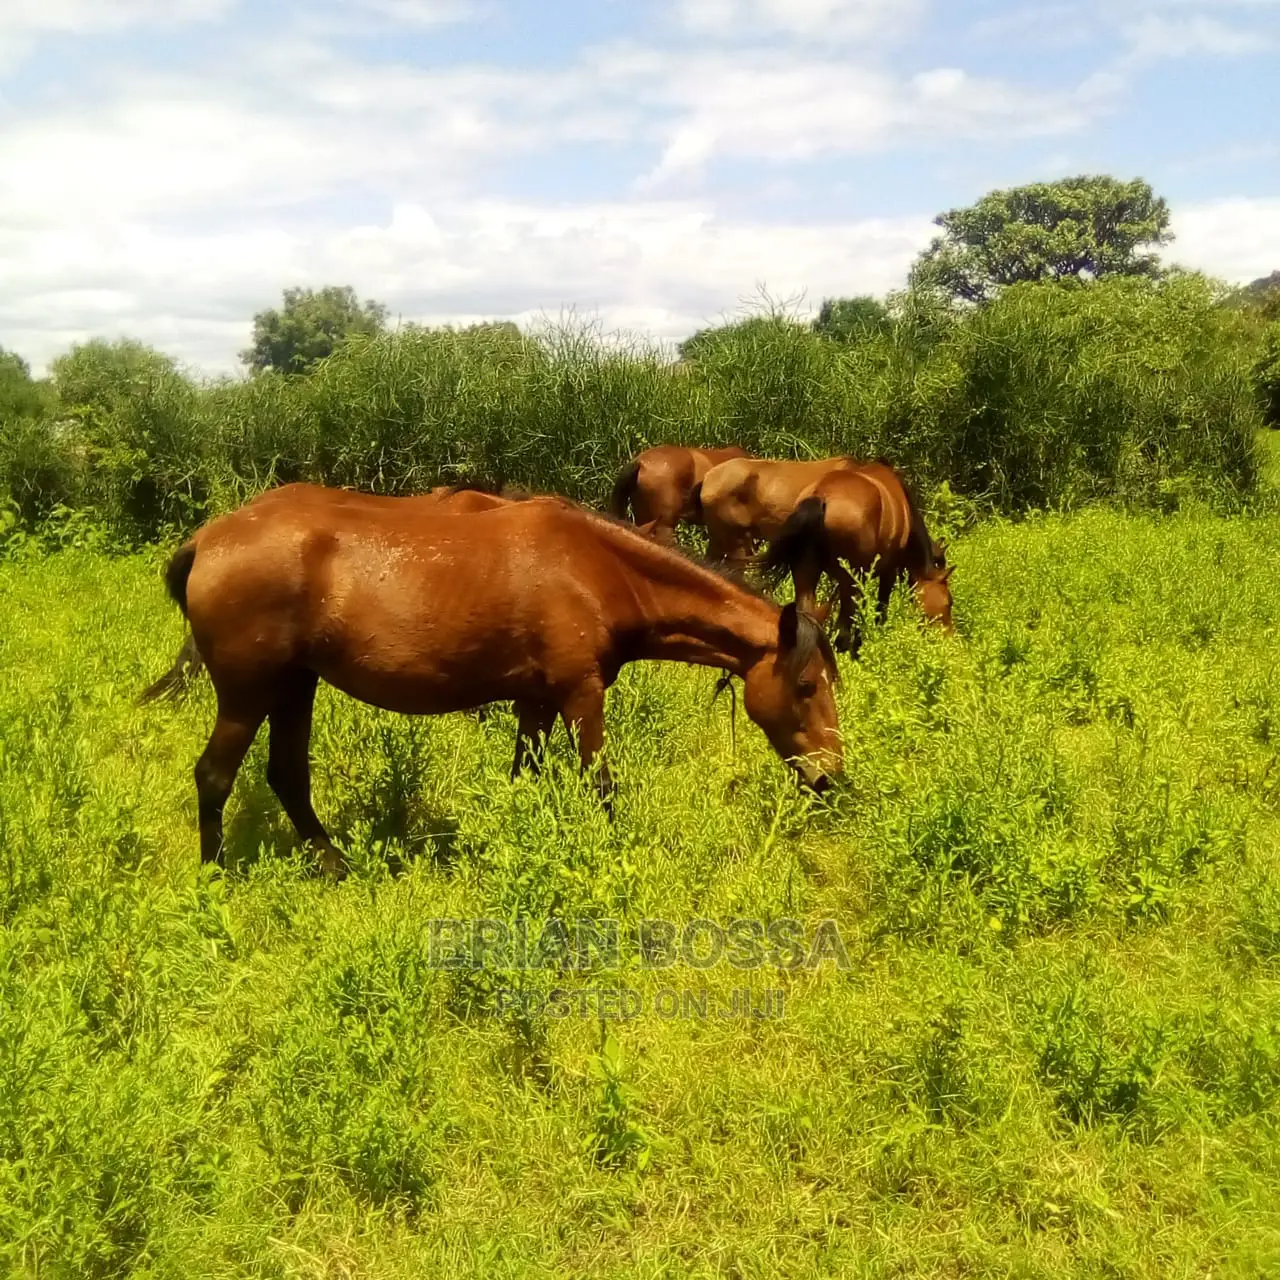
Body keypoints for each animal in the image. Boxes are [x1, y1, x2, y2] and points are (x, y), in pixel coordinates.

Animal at [143, 486, 842, 878]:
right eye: (808, 686)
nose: (831, 778)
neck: (596, 570)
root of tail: (208, 540)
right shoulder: (580, 696)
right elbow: (602, 786)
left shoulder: (535, 702)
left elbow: (522, 780)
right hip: (248, 694)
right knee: (214, 776)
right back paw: (215, 879)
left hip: (295, 686)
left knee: (287, 774)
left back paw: (336, 866)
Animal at [762, 461, 953, 655]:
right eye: (949, 602)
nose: (948, 638)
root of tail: (821, 496)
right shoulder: (888, 572)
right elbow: (880, 610)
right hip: (849, 580)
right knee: (842, 632)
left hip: (806, 574)